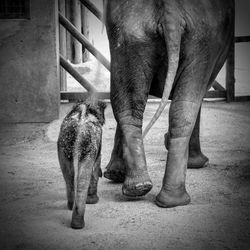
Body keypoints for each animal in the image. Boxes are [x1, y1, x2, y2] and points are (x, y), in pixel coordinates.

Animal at [57, 98, 106, 229]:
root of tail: (79, 132)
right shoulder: (97, 143)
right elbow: (96, 165)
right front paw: (94, 201)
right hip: (89, 146)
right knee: (84, 178)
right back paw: (79, 224)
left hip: (64, 146)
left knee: (68, 176)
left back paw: (70, 208)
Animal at [103, 0, 234, 207]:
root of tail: (170, 13)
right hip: (203, 38)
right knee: (182, 105)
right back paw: (168, 197)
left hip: (132, 31)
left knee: (130, 105)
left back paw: (145, 190)